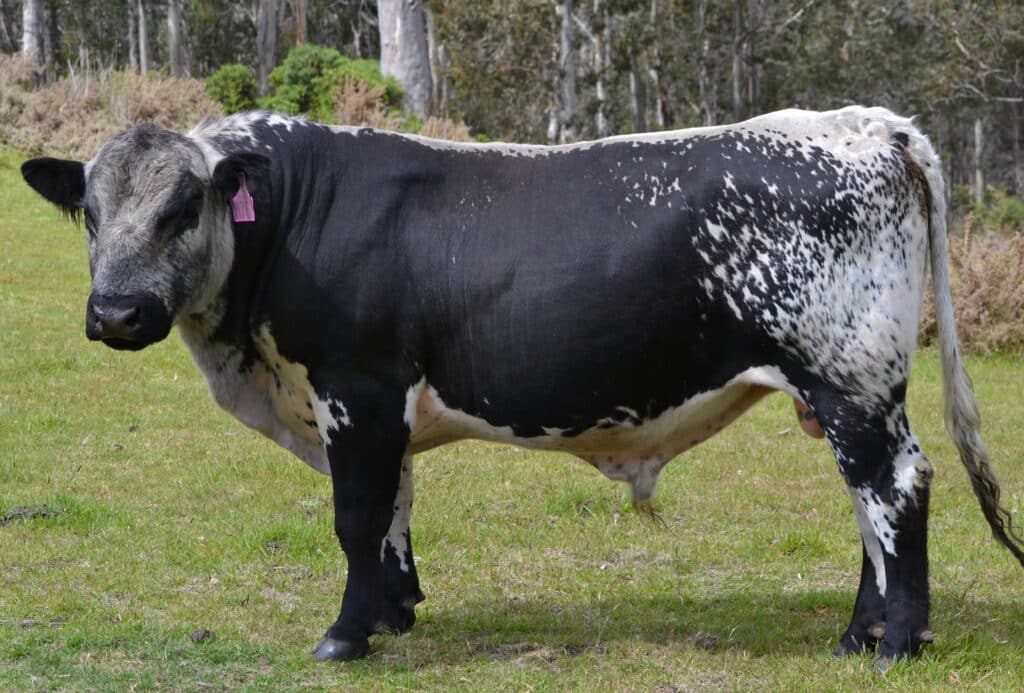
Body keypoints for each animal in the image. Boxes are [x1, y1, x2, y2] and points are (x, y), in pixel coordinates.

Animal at [21, 106, 1024, 669]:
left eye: (183, 207)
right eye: (91, 213)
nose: (115, 313)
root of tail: (863, 122)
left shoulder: (359, 386)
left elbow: (354, 515)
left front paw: (346, 636)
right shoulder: (376, 408)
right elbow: (392, 512)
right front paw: (393, 614)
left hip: (851, 378)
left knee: (896, 490)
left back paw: (897, 643)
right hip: (841, 390)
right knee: (868, 505)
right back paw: (857, 635)